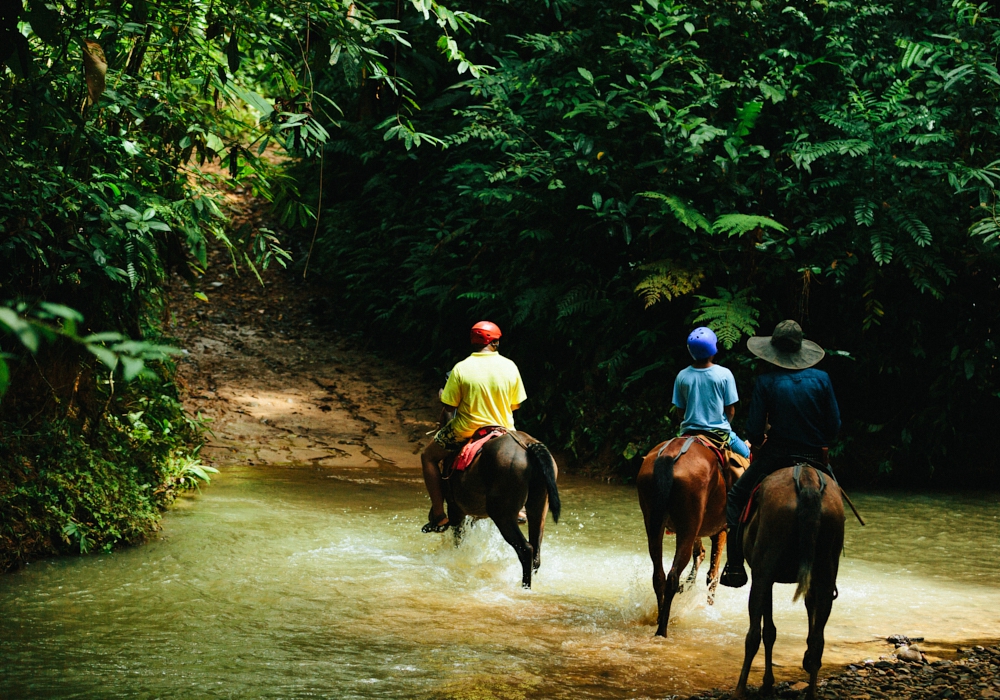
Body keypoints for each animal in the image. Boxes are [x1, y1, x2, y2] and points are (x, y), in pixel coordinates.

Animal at [446, 434, 564, 588]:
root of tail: (529, 443)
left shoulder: (455, 510)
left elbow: (458, 539)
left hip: (502, 515)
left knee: (526, 549)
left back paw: (525, 586)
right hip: (538, 510)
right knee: (536, 552)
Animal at [636, 434, 740, 636]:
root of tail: (668, 455)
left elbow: (700, 554)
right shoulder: (721, 529)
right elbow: (713, 575)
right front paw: (709, 607)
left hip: (655, 522)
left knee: (659, 575)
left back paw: (660, 618)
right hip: (688, 525)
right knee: (673, 576)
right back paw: (662, 629)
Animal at [736, 464, 844, 700]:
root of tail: (807, 479)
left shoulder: (764, 577)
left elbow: (767, 631)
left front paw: (767, 683)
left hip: (763, 571)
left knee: (753, 634)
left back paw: (739, 689)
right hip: (825, 572)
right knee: (818, 639)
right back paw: (811, 692)